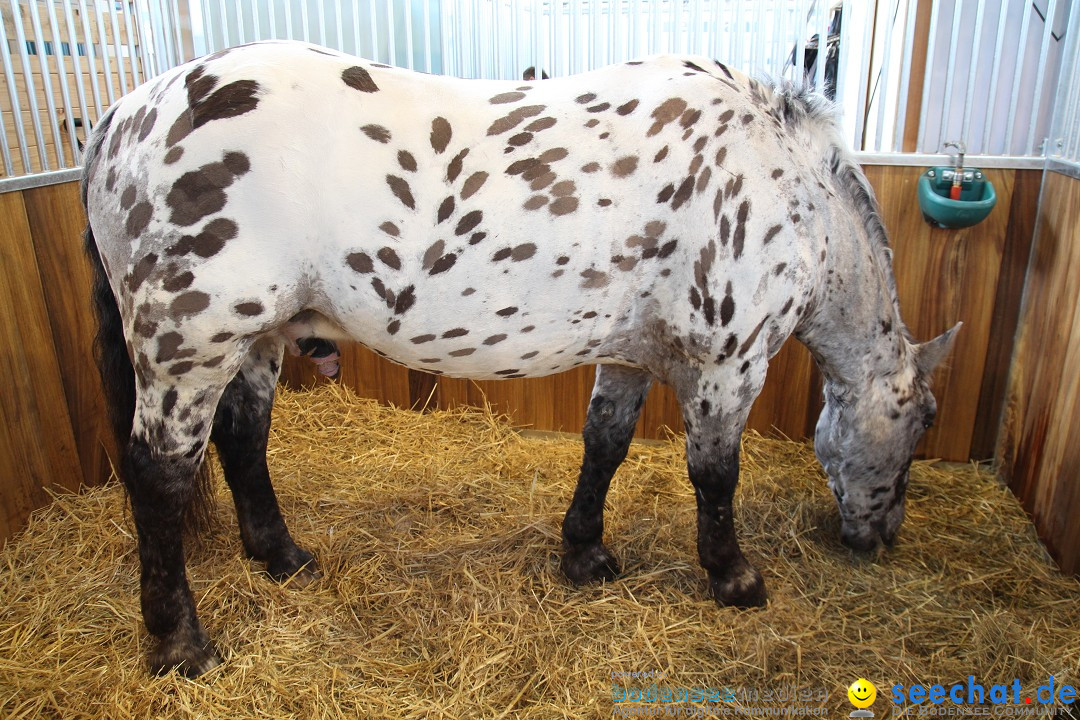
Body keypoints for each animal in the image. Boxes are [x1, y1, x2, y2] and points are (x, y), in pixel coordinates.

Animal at [84, 42, 963, 677]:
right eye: (922, 422)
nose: (883, 535)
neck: (783, 183)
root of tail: (125, 112)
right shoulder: (729, 363)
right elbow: (716, 477)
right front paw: (734, 578)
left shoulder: (633, 357)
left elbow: (605, 443)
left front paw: (585, 553)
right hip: (188, 347)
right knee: (159, 477)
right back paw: (179, 644)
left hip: (256, 341)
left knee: (243, 439)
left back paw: (283, 558)